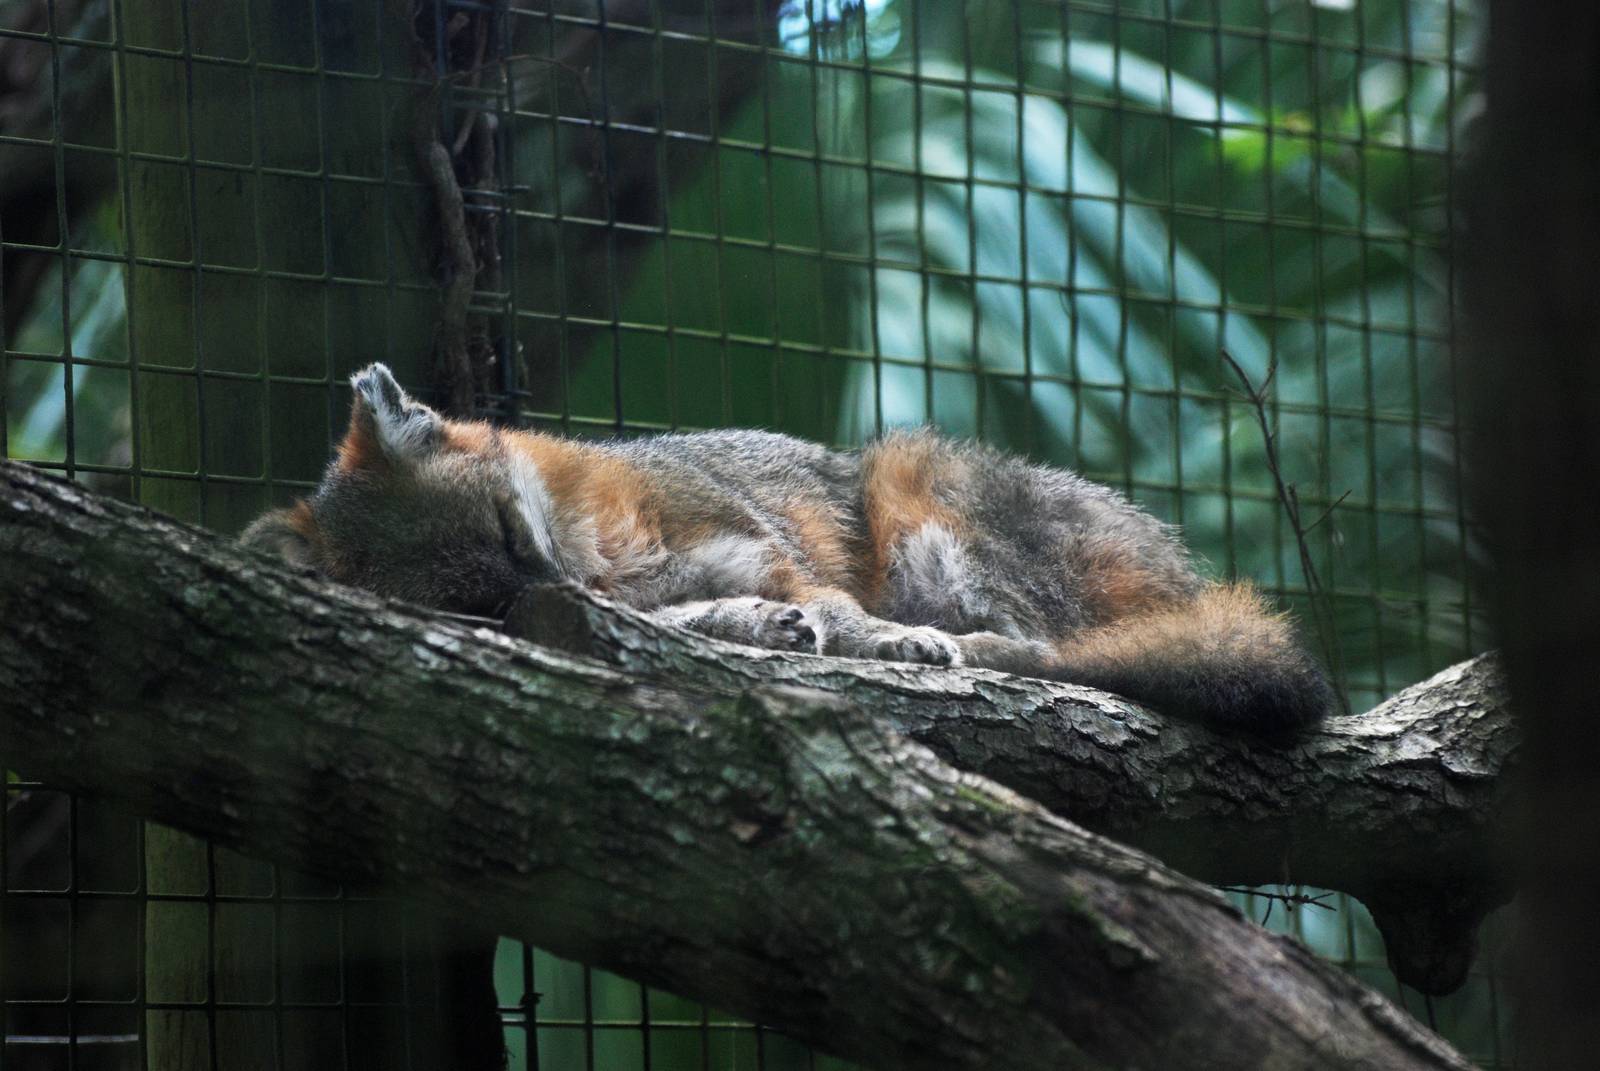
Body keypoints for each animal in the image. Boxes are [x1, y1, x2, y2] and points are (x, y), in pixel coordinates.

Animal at [243, 363, 1331, 730]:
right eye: (488, 603)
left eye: (514, 535)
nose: (564, 590)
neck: (608, 555)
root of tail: (1182, 569)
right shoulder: (679, 596)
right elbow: (720, 620)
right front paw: (767, 630)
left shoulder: (765, 548)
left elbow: (837, 614)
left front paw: (878, 644)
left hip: (915, 485)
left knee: (1052, 650)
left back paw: (961, 648)